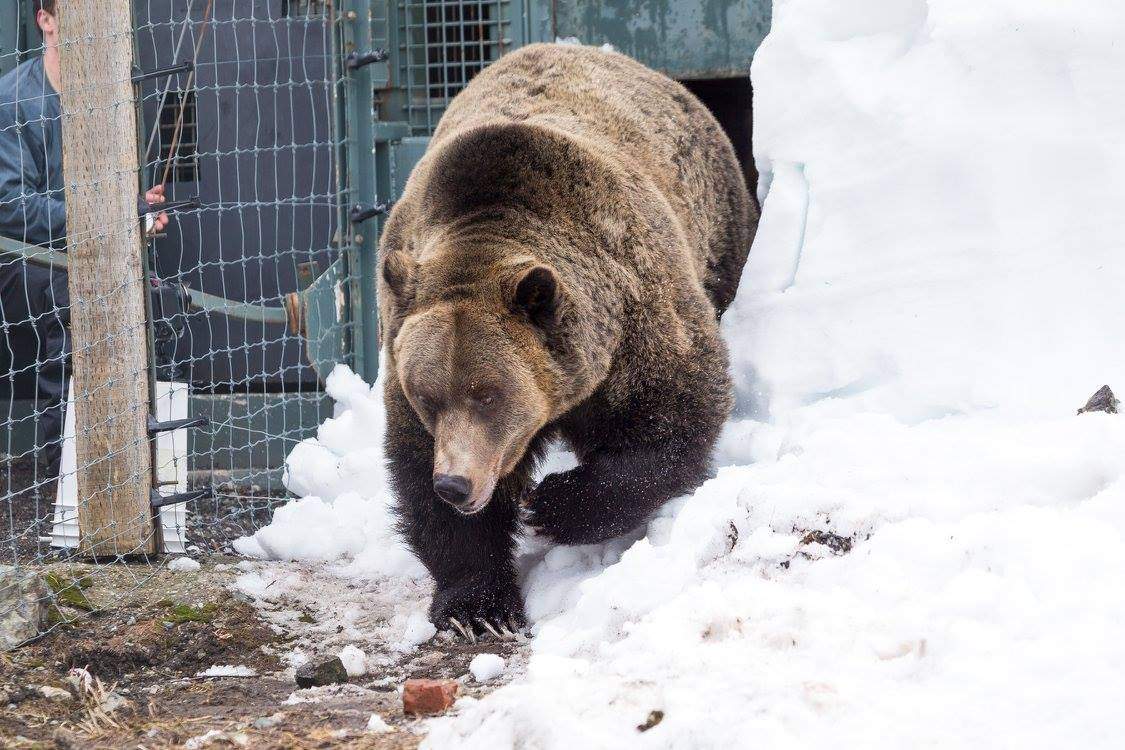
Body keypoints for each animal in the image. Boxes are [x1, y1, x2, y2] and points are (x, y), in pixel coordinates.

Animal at [377, 43, 758, 636]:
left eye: (489, 394)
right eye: (429, 396)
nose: (456, 484)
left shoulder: (632, 311)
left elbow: (672, 411)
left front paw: (553, 505)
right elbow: (420, 474)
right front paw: (477, 606)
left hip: (718, 225)